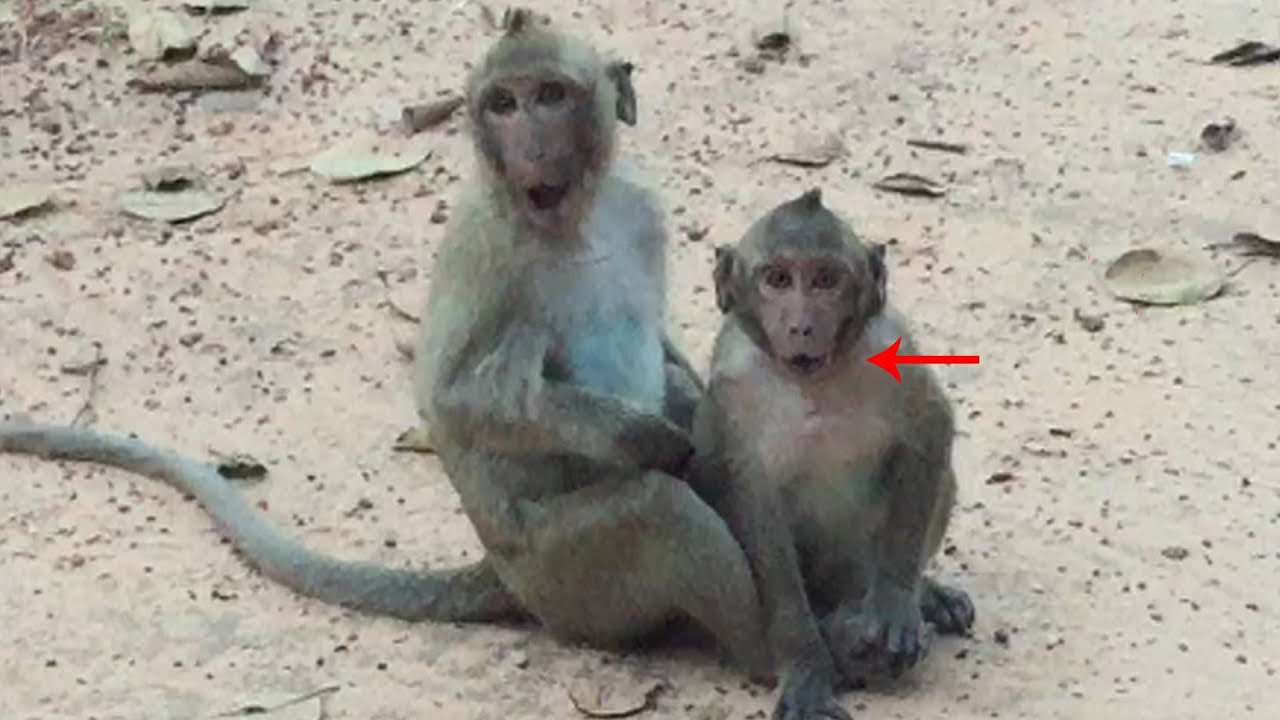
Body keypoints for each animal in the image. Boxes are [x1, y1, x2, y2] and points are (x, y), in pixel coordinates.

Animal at [0, 9, 773, 682]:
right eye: (504, 103)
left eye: (551, 95)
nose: (528, 144)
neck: (576, 220)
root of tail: (504, 575)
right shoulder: (486, 249)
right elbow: (451, 401)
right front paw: (642, 438)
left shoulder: (638, 210)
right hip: (572, 580)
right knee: (659, 510)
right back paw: (769, 656)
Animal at [687, 188, 975, 720]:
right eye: (778, 279)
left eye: (826, 279)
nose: (802, 326)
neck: (813, 383)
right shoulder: (733, 391)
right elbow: (751, 501)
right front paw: (807, 666)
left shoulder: (892, 345)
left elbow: (928, 430)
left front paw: (896, 603)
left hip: (858, 567)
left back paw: (920, 598)